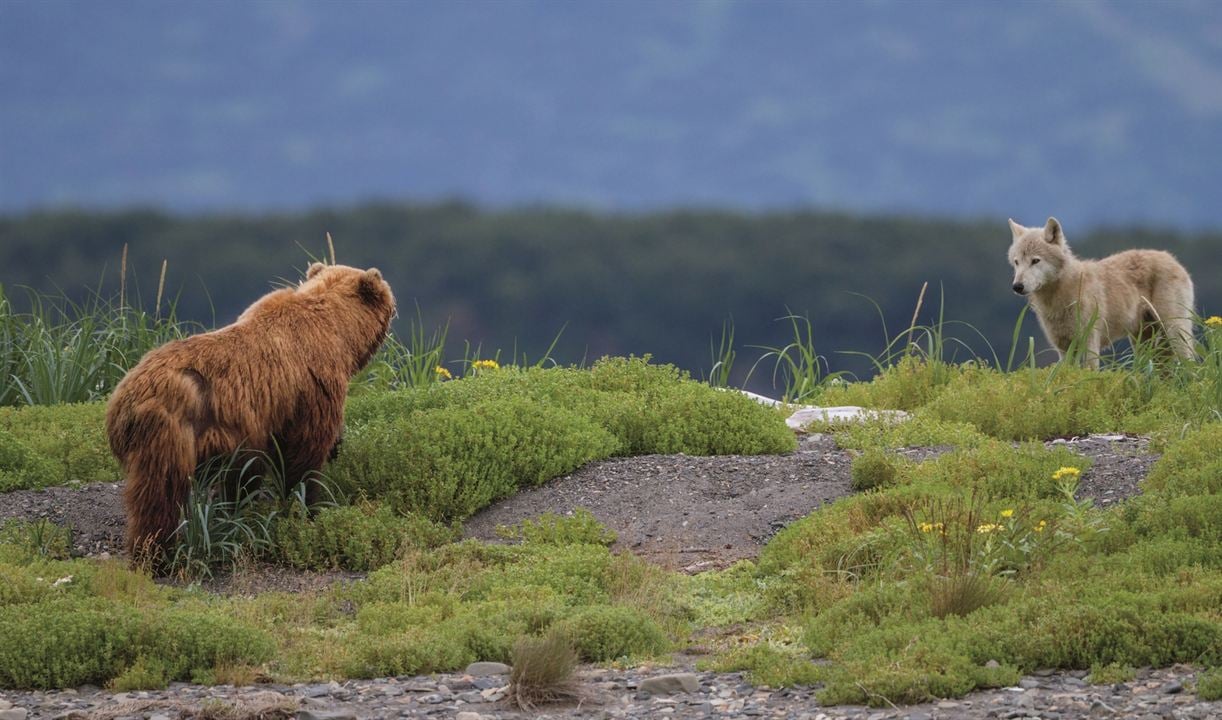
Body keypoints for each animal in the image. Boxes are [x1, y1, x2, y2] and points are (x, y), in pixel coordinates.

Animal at [107, 262, 395, 562]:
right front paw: (309, 507)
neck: (338, 333)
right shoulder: (312, 389)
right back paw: (157, 552)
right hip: (170, 433)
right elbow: (303, 456)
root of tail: (122, 402)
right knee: (160, 495)